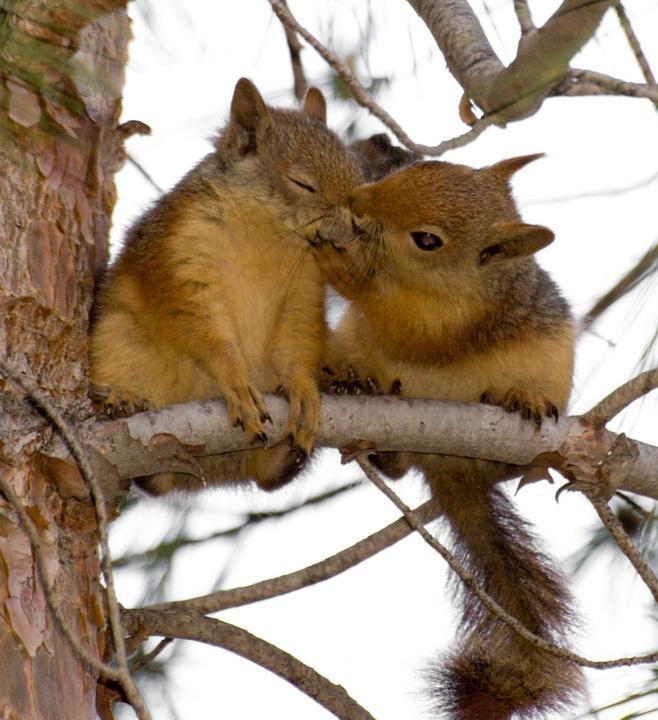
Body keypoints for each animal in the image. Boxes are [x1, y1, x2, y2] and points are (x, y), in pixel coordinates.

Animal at [88, 79, 364, 496]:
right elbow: (203, 329)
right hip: (118, 341)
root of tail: (216, 472)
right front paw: (235, 379)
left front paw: (302, 388)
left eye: (355, 171)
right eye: (303, 183)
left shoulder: (304, 289)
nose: (357, 225)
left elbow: (297, 339)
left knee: (267, 479)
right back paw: (124, 406)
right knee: (155, 481)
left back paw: (292, 450)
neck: (269, 235)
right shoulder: (180, 257)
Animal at [314, 156, 584, 720]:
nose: (358, 200)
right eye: (417, 168)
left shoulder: (453, 321)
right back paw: (366, 406)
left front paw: (338, 264)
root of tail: (451, 468)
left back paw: (519, 402)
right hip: (351, 347)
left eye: (428, 240)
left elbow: (409, 327)